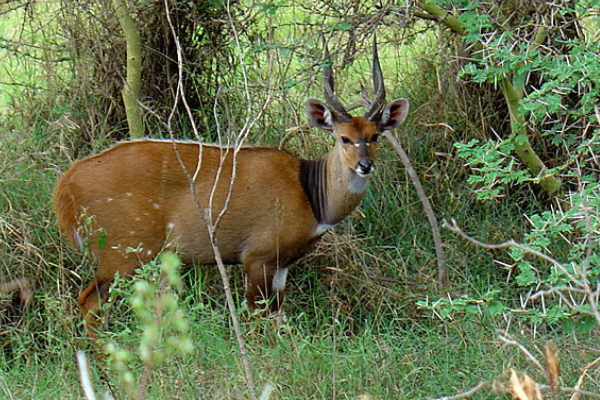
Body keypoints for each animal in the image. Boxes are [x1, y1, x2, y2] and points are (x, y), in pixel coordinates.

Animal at [55, 37, 408, 340]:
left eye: (375, 136)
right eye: (343, 138)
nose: (365, 165)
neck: (311, 194)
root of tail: (66, 183)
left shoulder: (281, 265)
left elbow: (278, 317)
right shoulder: (257, 256)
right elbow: (257, 318)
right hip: (124, 253)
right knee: (90, 301)